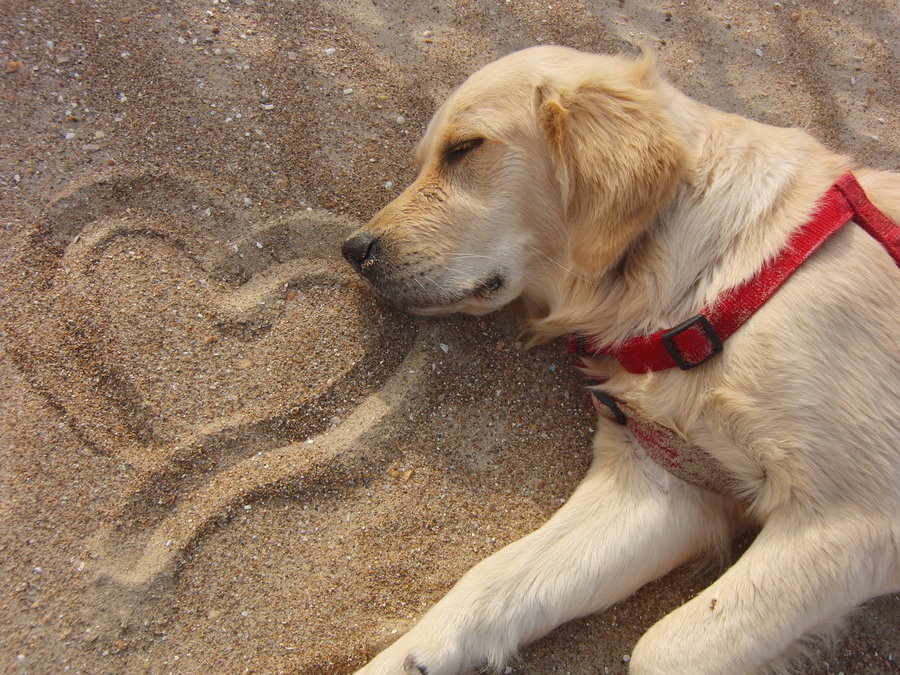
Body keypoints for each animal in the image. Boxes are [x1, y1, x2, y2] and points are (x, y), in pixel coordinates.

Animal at [340, 47, 900, 675]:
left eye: (464, 148)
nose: (353, 250)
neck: (709, 281)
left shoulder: (854, 517)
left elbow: (664, 648)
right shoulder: (658, 484)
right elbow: (492, 582)